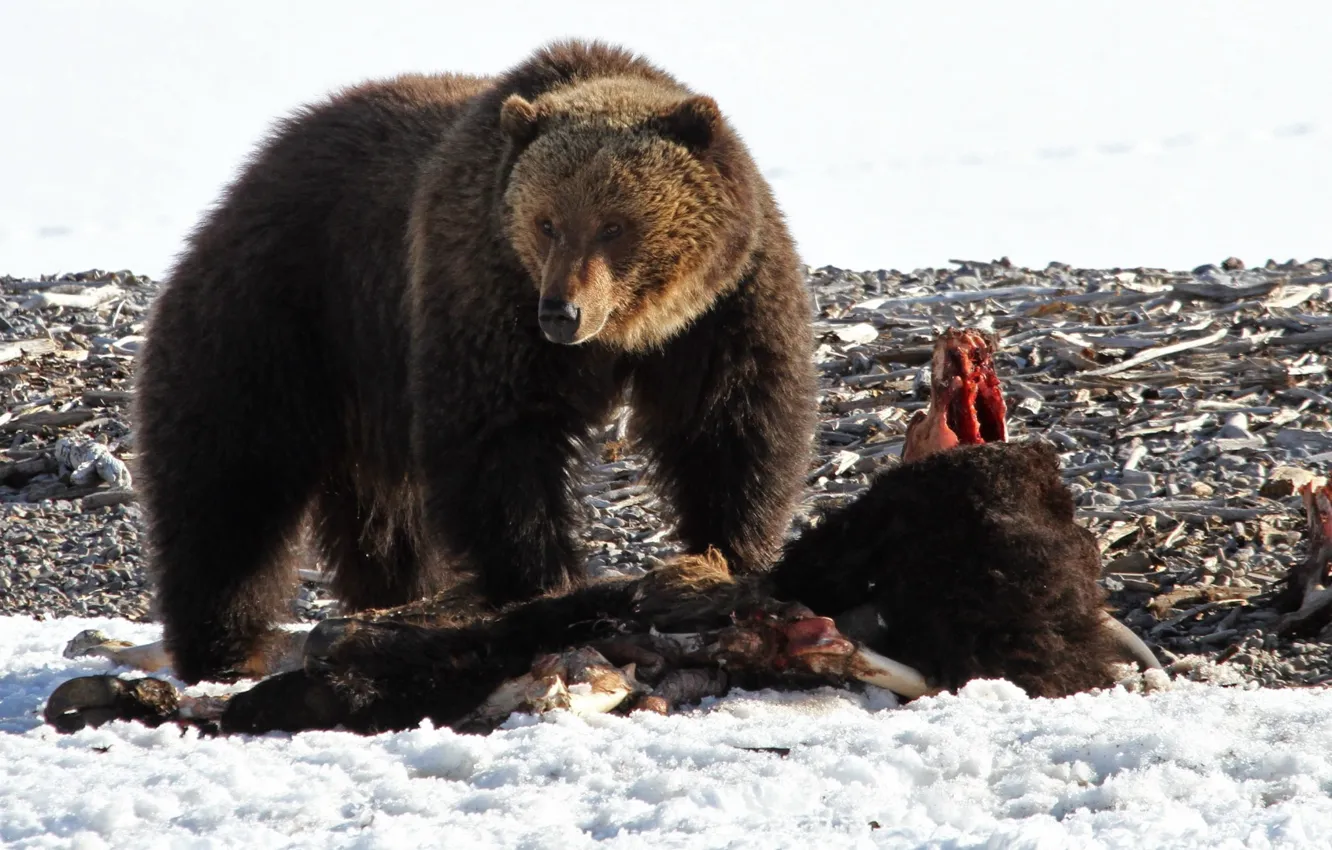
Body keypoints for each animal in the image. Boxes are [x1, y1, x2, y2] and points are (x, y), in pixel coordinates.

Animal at [133, 39, 817, 685]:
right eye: (547, 222)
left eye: (615, 225)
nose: (562, 312)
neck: (631, 332)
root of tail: (255, 168)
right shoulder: (485, 290)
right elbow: (498, 441)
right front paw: (544, 583)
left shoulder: (726, 307)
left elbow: (732, 425)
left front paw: (724, 558)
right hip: (284, 312)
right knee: (229, 485)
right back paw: (224, 647)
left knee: (385, 520)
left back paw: (391, 599)